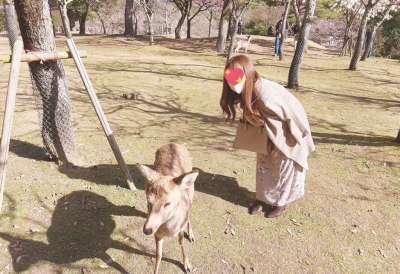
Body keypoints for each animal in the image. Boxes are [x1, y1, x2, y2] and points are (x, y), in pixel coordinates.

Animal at [138, 143, 199, 274]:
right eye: (148, 201)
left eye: (168, 203)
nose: (147, 230)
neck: (170, 229)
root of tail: (173, 143)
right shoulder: (157, 234)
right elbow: (158, 255)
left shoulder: (180, 229)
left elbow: (181, 242)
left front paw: (187, 265)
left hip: (191, 192)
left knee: (189, 212)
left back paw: (191, 235)